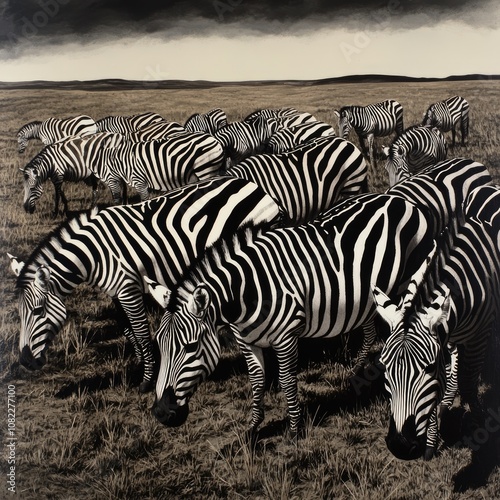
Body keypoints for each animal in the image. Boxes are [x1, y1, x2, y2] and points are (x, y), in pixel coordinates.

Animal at [9, 178, 282, 392]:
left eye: (37, 311)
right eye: (19, 315)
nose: (25, 362)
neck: (95, 253)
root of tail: (256, 188)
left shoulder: (129, 289)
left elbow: (140, 331)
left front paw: (148, 379)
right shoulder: (116, 293)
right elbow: (128, 330)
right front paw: (141, 366)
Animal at [88, 133, 225, 205]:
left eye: (105, 174)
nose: (116, 202)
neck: (122, 163)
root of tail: (214, 140)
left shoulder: (140, 181)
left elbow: (144, 200)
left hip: (206, 169)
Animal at [146, 193, 434, 432]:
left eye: (191, 347)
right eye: (159, 344)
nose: (160, 413)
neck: (247, 292)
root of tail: (400, 200)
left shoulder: (286, 337)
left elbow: (286, 379)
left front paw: (294, 428)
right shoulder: (246, 341)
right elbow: (257, 381)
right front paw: (254, 426)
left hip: (407, 283)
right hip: (368, 297)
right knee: (370, 331)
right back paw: (359, 371)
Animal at [372, 183, 500, 458]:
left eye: (428, 368)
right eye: (384, 368)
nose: (400, 446)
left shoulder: (479, 335)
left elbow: (468, 383)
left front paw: (480, 423)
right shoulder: (445, 334)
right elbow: (439, 390)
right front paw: (432, 440)